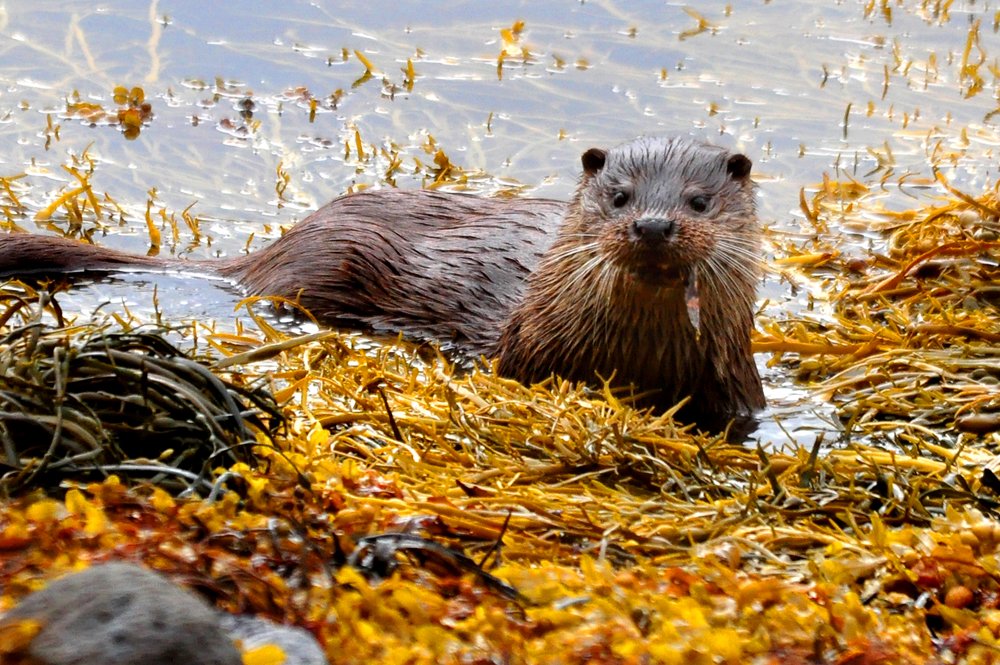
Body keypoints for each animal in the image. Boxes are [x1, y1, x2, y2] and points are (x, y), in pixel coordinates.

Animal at [0, 136, 765, 429]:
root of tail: (273, 248)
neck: (639, 363)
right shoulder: (525, 355)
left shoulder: (735, 388)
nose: (654, 226)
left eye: (699, 201)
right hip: (330, 259)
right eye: (619, 196)